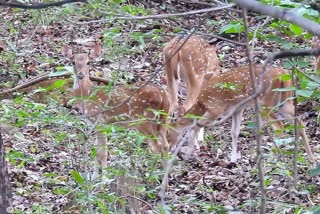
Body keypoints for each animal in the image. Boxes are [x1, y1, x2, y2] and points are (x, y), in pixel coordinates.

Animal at [69, 44, 171, 177]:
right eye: (73, 62)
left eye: (88, 62)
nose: (80, 75)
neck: (87, 94)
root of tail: (163, 96)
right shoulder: (97, 124)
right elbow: (98, 149)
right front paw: (95, 176)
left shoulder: (100, 121)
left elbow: (101, 152)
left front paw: (102, 177)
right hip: (163, 120)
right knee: (166, 145)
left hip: (142, 119)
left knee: (158, 146)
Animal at [168, 64, 316, 166]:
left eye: (168, 132)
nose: (168, 148)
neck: (201, 104)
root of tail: (283, 75)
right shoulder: (237, 108)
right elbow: (234, 132)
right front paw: (233, 159)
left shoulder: (216, 108)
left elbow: (195, 125)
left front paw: (189, 153)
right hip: (284, 101)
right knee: (299, 121)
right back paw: (311, 159)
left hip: (265, 101)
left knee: (279, 126)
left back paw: (270, 158)